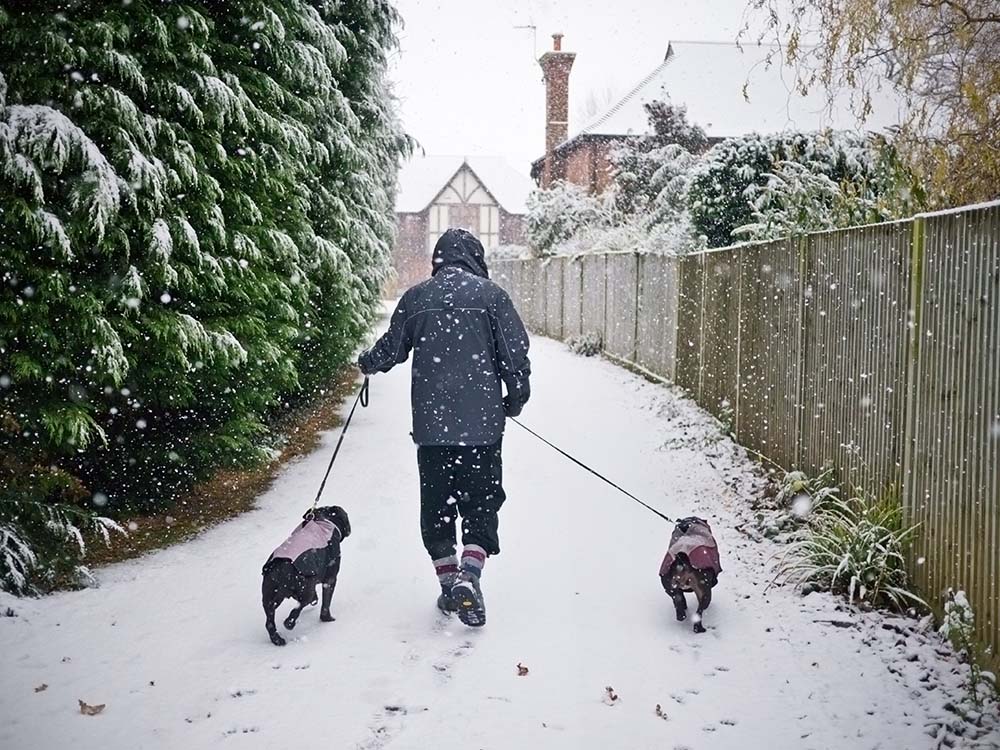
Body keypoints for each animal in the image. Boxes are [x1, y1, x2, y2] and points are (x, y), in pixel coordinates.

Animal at [262, 508, 352, 648]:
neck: (323, 519)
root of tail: (281, 569)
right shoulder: (330, 579)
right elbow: (326, 603)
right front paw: (327, 618)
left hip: (269, 596)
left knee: (269, 622)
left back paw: (277, 639)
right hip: (305, 589)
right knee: (297, 608)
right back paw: (289, 623)